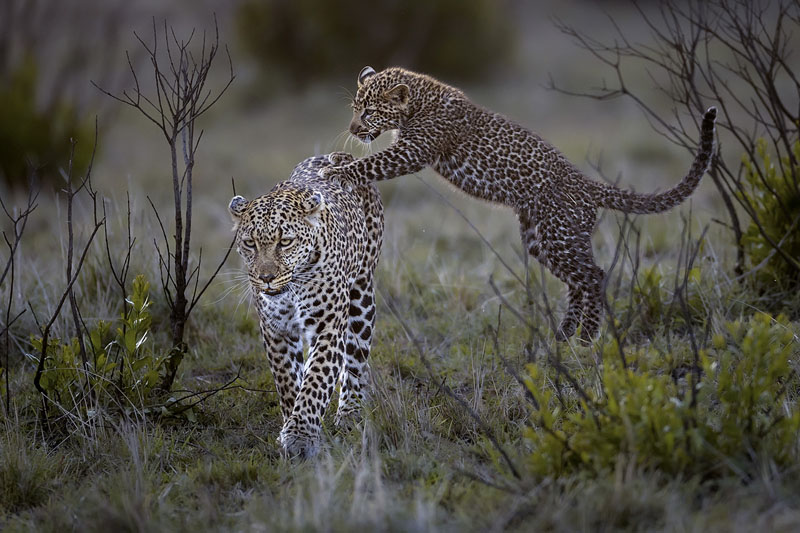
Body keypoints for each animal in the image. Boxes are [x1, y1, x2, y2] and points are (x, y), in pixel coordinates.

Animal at [230, 152, 383, 457]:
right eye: (250, 243)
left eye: (285, 242)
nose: (266, 278)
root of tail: (337, 155)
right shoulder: (275, 330)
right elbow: (289, 380)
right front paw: (293, 423)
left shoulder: (327, 327)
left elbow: (316, 379)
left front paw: (300, 436)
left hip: (362, 297)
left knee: (356, 362)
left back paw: (350, 415)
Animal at [321, 66, 717, 341]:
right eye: (355, 109)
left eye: (369, 112)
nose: (353, 129)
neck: (417, 102)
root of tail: (587, 185)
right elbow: (371, 161)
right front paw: (337, 163)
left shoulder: (412, 152)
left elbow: (372, 163)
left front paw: (337, 170)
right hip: (541, 239)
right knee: (578, 281)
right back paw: (565, 334)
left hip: (559, 236)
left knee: (594, 276)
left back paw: (587, 336)